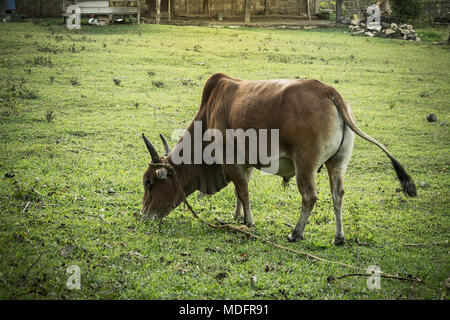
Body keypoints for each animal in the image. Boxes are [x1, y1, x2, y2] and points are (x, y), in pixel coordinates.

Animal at [142, 73, 418, 245]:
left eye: (148, 183)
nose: (144, 216)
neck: (208, 114)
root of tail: (329, 91)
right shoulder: (245, 162)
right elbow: (239, 191)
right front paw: (237, 217)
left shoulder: (231, 160)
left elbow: (243, 191)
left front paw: (248, 222)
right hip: (338, 163)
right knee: (338, 195)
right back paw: (339, 237)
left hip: (306, 164)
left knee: (310, 196)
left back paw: (296, 233)